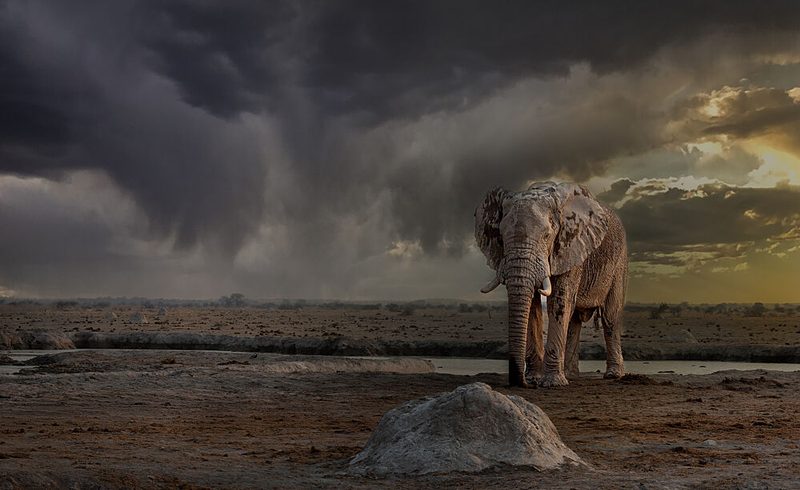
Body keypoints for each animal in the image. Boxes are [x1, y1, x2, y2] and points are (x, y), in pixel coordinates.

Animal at [474, 181, 628, 387]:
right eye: (501, 237)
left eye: (547, 236)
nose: (520, 382)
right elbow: (533, 306)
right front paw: (535, 379)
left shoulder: (570, 246)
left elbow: (559, 302)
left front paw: (552, 383)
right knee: (575, 320)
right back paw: (570, 374)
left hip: (620, 262)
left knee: (610, 316)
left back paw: (612, 375)